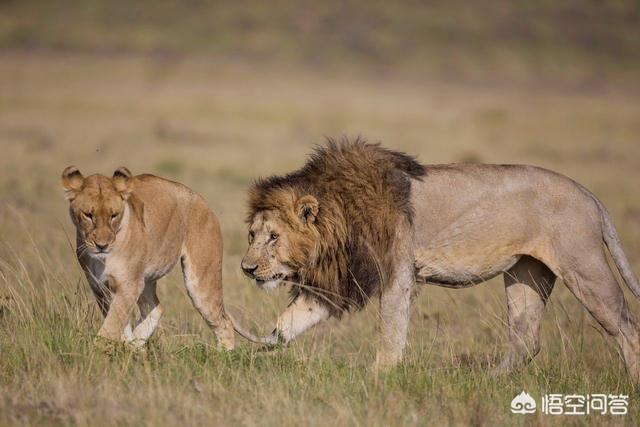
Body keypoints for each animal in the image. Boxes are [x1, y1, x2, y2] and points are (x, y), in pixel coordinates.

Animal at [62, 166, 258, 350]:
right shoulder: (99, 285)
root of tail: (202, 200)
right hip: (146, 279)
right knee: (156, 308)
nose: (102, 245)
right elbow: (118, 321)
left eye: (113, 215)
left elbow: (112, 323)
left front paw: (98, 351)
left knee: (224, 323)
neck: (104, 258)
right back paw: (135, 347)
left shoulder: (129, 284)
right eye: (88, 215)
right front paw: (124, 347)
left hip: (199, 282)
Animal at [242, 138, 640, 382]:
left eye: (274, 237)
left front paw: (379, 376)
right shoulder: (338, 282)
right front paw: (252, 352)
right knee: (527, 339)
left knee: (626, 327)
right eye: (251, 236)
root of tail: (588, 194)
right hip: (527, 273)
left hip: (583, 267)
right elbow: (288, 322)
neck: (340, 219)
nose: (247, 269)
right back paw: (489, 382)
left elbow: (391, 331)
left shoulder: (398, 274)